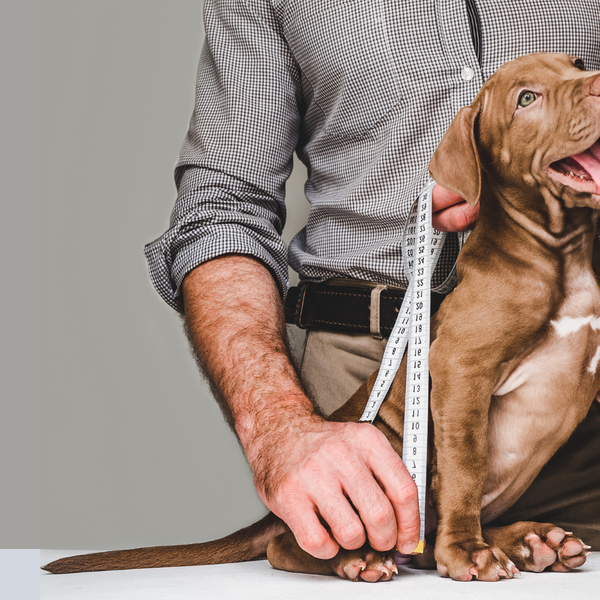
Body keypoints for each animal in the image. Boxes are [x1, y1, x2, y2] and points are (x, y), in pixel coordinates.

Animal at [43, 55, 600, 580]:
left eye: (576, 65)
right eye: (526, 98)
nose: (596, 82)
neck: (561, 254)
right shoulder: (462, 368)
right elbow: (466, 465)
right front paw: (468, 552)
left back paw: (533, 540)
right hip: (380, 452)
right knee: (291, 547)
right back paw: (359, 558)